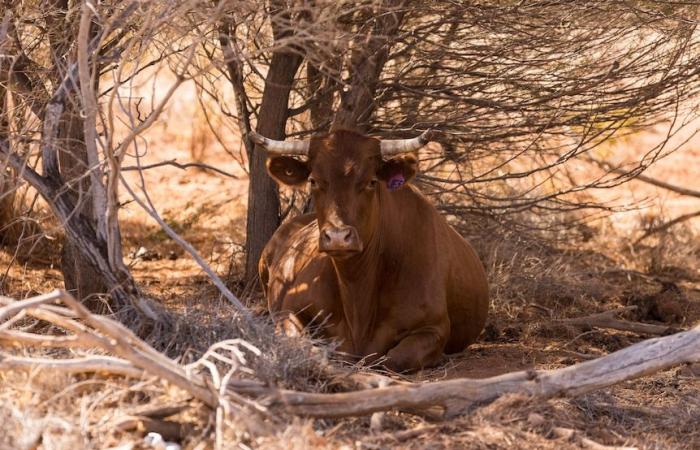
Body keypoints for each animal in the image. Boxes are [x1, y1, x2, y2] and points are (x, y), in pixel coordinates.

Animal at [254, 128, 490, 370]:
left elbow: (395, 359)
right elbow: (306, 348)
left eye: (371, 181)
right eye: (312, 181)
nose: (338, 237)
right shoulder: (289, 311)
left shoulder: (434, 327)